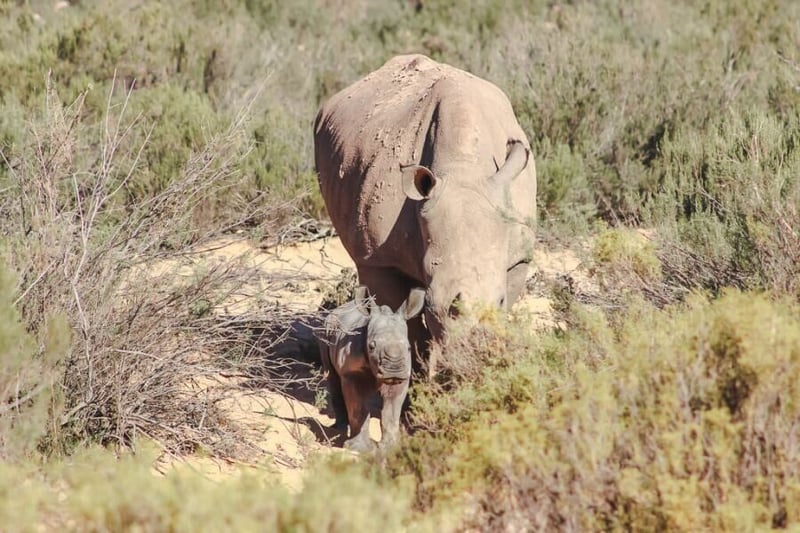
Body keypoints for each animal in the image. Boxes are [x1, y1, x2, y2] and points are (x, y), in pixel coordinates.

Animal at [314, 54, 537, 371]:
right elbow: (404, 322)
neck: (463, 168)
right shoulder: (381, 259)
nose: (469, 364)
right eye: (433, 305)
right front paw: (419, 379)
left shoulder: (518, 256)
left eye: (500, 300)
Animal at [317, 286, 425, 452]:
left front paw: (390, 448)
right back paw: (339, 430)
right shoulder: (351, 375)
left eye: (408, 348)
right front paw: (358, 448)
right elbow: (358, 409)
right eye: (371, 346)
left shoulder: (402, 378)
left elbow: (391, 414)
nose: (393, 369)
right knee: (332, 378)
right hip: (327, 329)